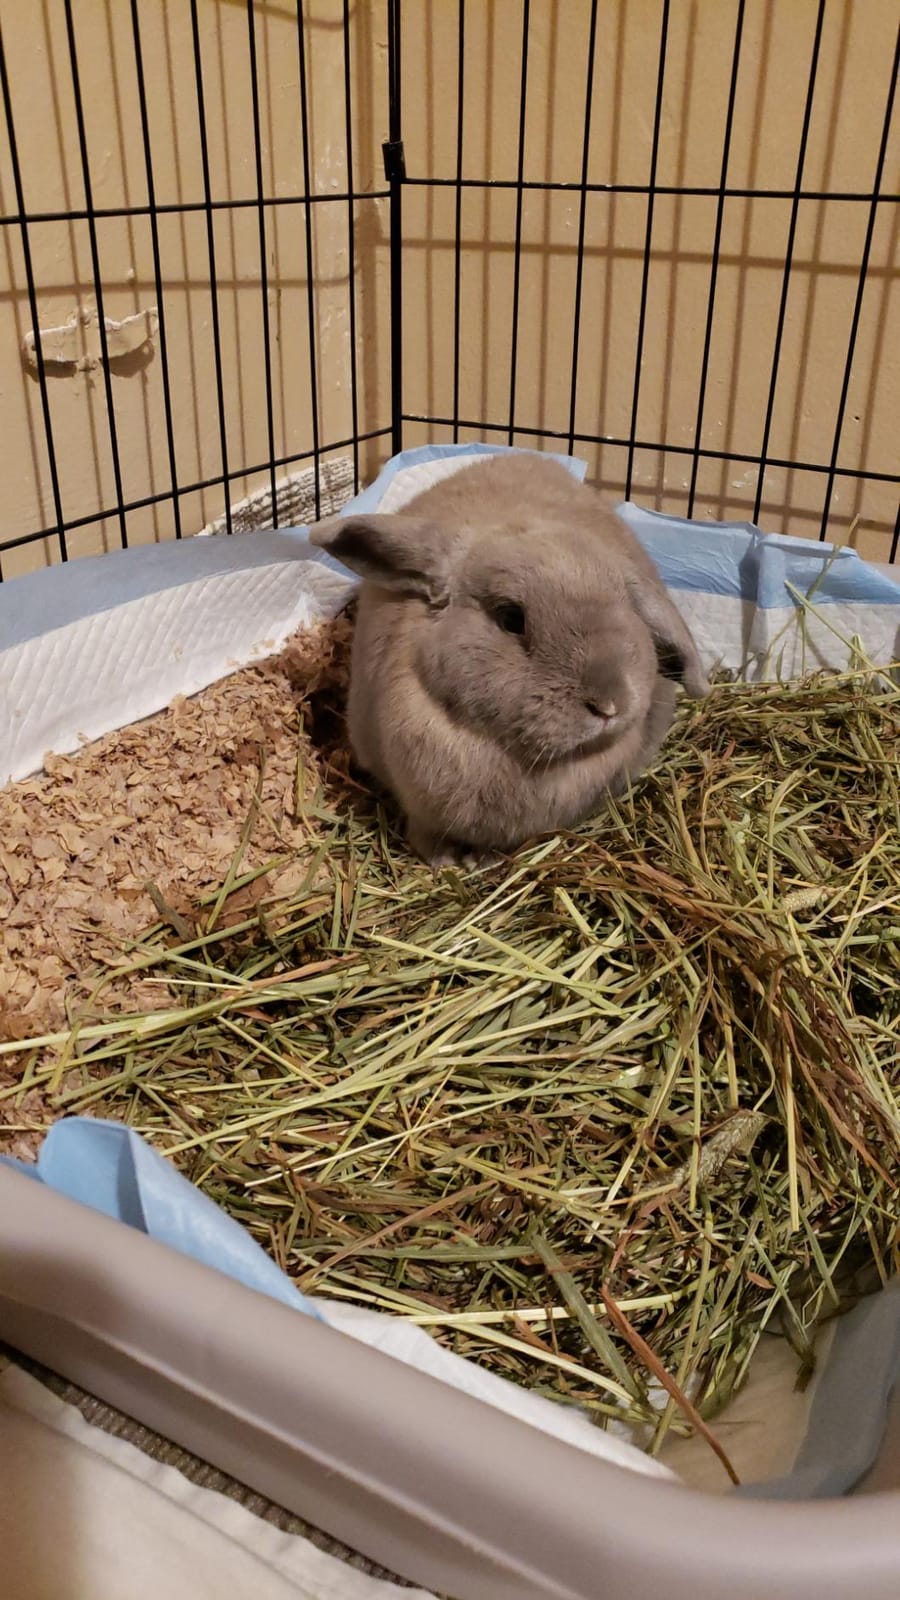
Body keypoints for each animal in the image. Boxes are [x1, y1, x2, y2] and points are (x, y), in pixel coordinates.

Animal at [311, 453, 708, 868]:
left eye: (628, 604)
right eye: (511, 618)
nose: (610, 704)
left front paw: (482, 861)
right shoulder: (421, 812)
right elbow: (426, 836)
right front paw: (444, 863)